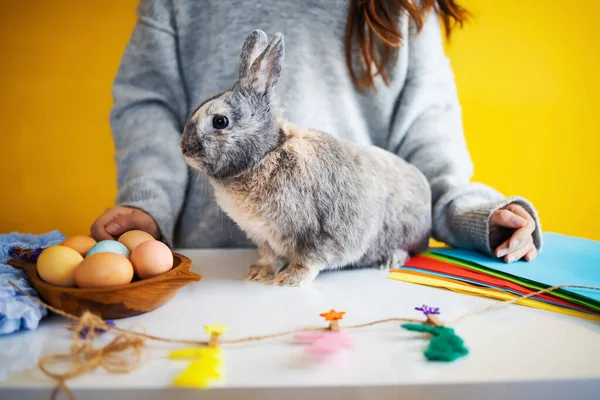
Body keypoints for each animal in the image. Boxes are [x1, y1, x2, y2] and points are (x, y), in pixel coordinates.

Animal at [178, 31, 432, 286]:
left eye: (220, 121)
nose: (183, 149)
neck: (264, 155)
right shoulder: (264, 237)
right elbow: (270, 257)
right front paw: (258, 273)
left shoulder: (319, 231)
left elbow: (309, 259)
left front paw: (289, 279)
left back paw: (390, 259)